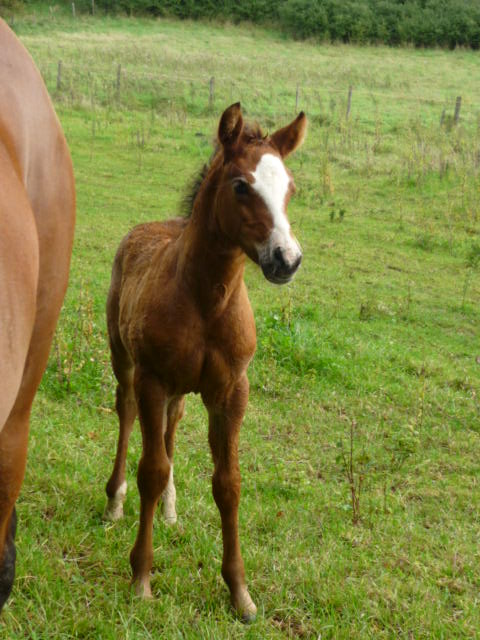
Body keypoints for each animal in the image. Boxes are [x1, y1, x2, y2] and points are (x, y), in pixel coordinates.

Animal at [105, 104, 308, 620]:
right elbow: (151, 471)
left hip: (179, 389)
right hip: (125, 360)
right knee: (126, 413)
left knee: (172, 425)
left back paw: (171, 510)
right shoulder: (153, 379)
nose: (287, 259)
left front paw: (240, 593)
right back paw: (114, 500)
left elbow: (228, 483)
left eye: (291, 188)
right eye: (241, 186)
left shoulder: (232, 390)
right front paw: (141, 577)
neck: (205, 300)